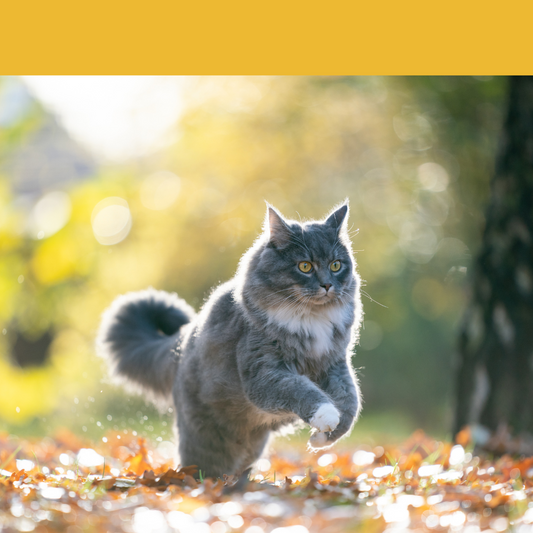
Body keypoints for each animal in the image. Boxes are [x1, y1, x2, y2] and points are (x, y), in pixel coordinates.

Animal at [96, 203, 362, 478]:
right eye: (305, 266)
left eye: (336, 265)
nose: (327, 285)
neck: (312, 319)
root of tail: (181, 341)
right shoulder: (264, 372)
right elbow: (302, 390)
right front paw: (326, 417)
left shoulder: (335, 365)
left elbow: (350, 403)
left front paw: (323, 438)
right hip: (204, 437)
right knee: (200, 466)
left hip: (251, 445)